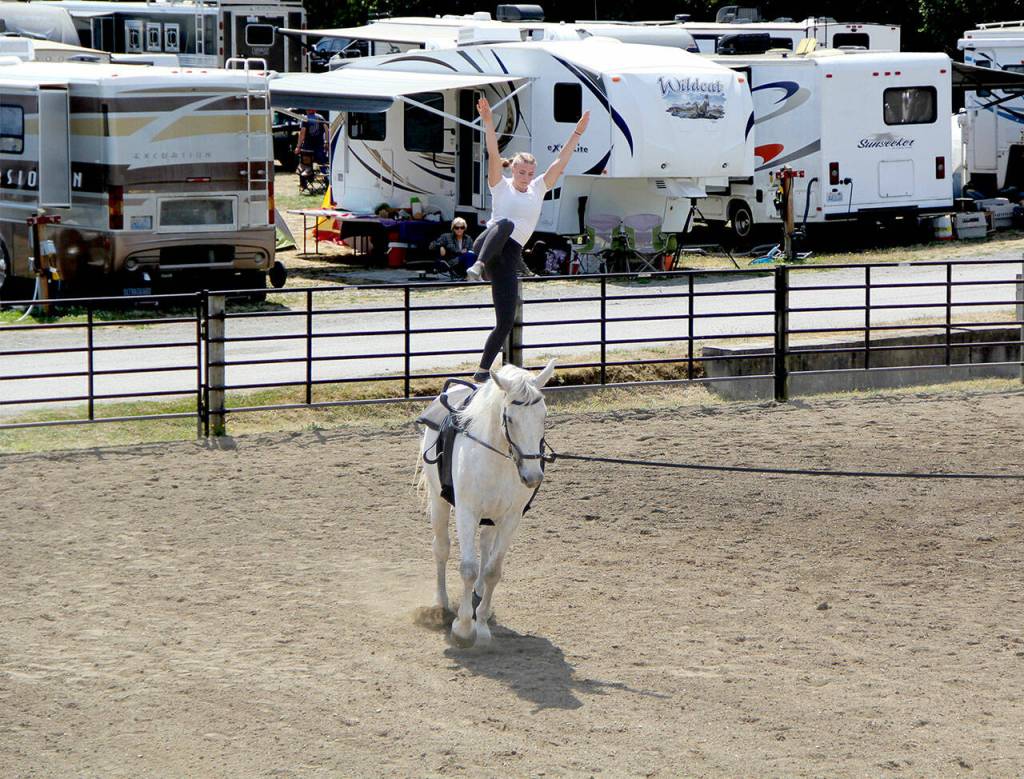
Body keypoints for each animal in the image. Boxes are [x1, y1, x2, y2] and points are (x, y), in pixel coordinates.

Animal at [419, 360, 555, 647]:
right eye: (510, 418)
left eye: (544, 416)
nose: (533, 476)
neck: (497, 459)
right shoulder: (467, 512)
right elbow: (468, 568)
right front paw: (463, 626)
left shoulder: (511, 518)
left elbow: (493, 570)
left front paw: (480, 627)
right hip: (438, 501)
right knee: (441, 548)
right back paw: (442, 603)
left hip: (492, 516)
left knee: (484, 546)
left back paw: (479, 595)